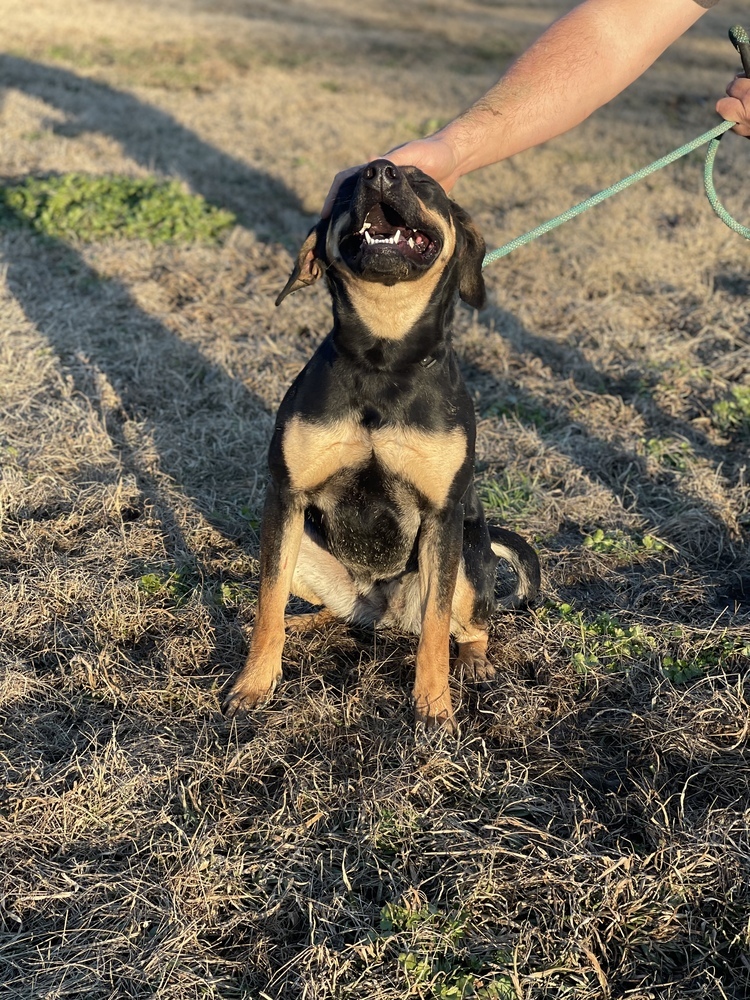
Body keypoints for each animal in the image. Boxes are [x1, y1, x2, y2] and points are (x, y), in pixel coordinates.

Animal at [222, 160, 540, 732]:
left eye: (425, 182)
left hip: (467, 563)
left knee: (471, 625)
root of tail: (383, 609)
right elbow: (266, 602)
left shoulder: (441, 515)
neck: (382, 357)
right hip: (302, 549)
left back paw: (474, 662)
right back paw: (304, 624)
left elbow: (435, 631)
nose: (379, 171)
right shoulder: (285, 500)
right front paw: (254, 683)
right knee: (322, 607)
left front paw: (433, 708)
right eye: (349, 184)